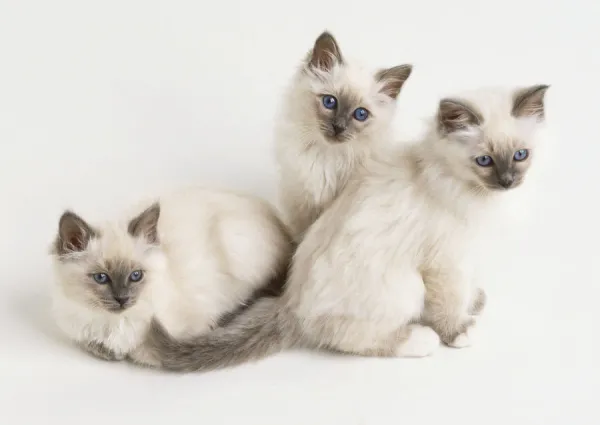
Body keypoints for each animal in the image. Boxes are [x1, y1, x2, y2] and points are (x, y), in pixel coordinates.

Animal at [51, 186, 292, 364]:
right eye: (101, 278)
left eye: (136, 275)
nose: (122, 300)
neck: (112, 322)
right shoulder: (79, 331)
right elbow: (95, 346)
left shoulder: (191, 326)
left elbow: (142, 351)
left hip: (237, 250)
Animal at [145, 83, 548, 372]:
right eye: (484, 161)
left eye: (520, 155)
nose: (508, 181)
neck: (468, 191)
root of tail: (290, 303)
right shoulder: (445, 262)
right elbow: (448, 305)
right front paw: (459, 332)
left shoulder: (464, 257)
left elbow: (464, 292)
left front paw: (474, 302)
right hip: (405, 286)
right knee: (347, 338)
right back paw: (419, 340)